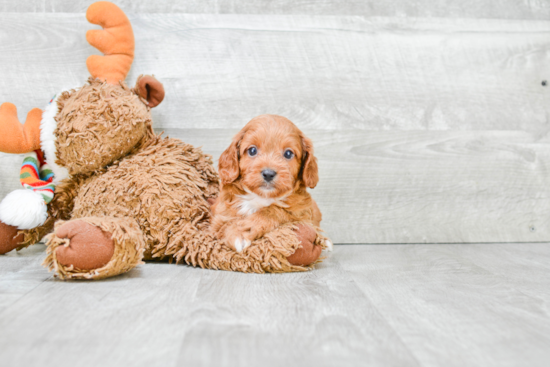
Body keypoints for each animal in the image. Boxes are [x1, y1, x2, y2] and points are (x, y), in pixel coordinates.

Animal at [212, 115, 332, 253]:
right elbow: (226, 223)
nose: (268, 174)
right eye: (252, 150)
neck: (261, 197)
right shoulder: (219, 217)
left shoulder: (302, 213)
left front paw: (245, 228)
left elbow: (275, 210)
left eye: (288, 153)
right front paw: (238, 232)